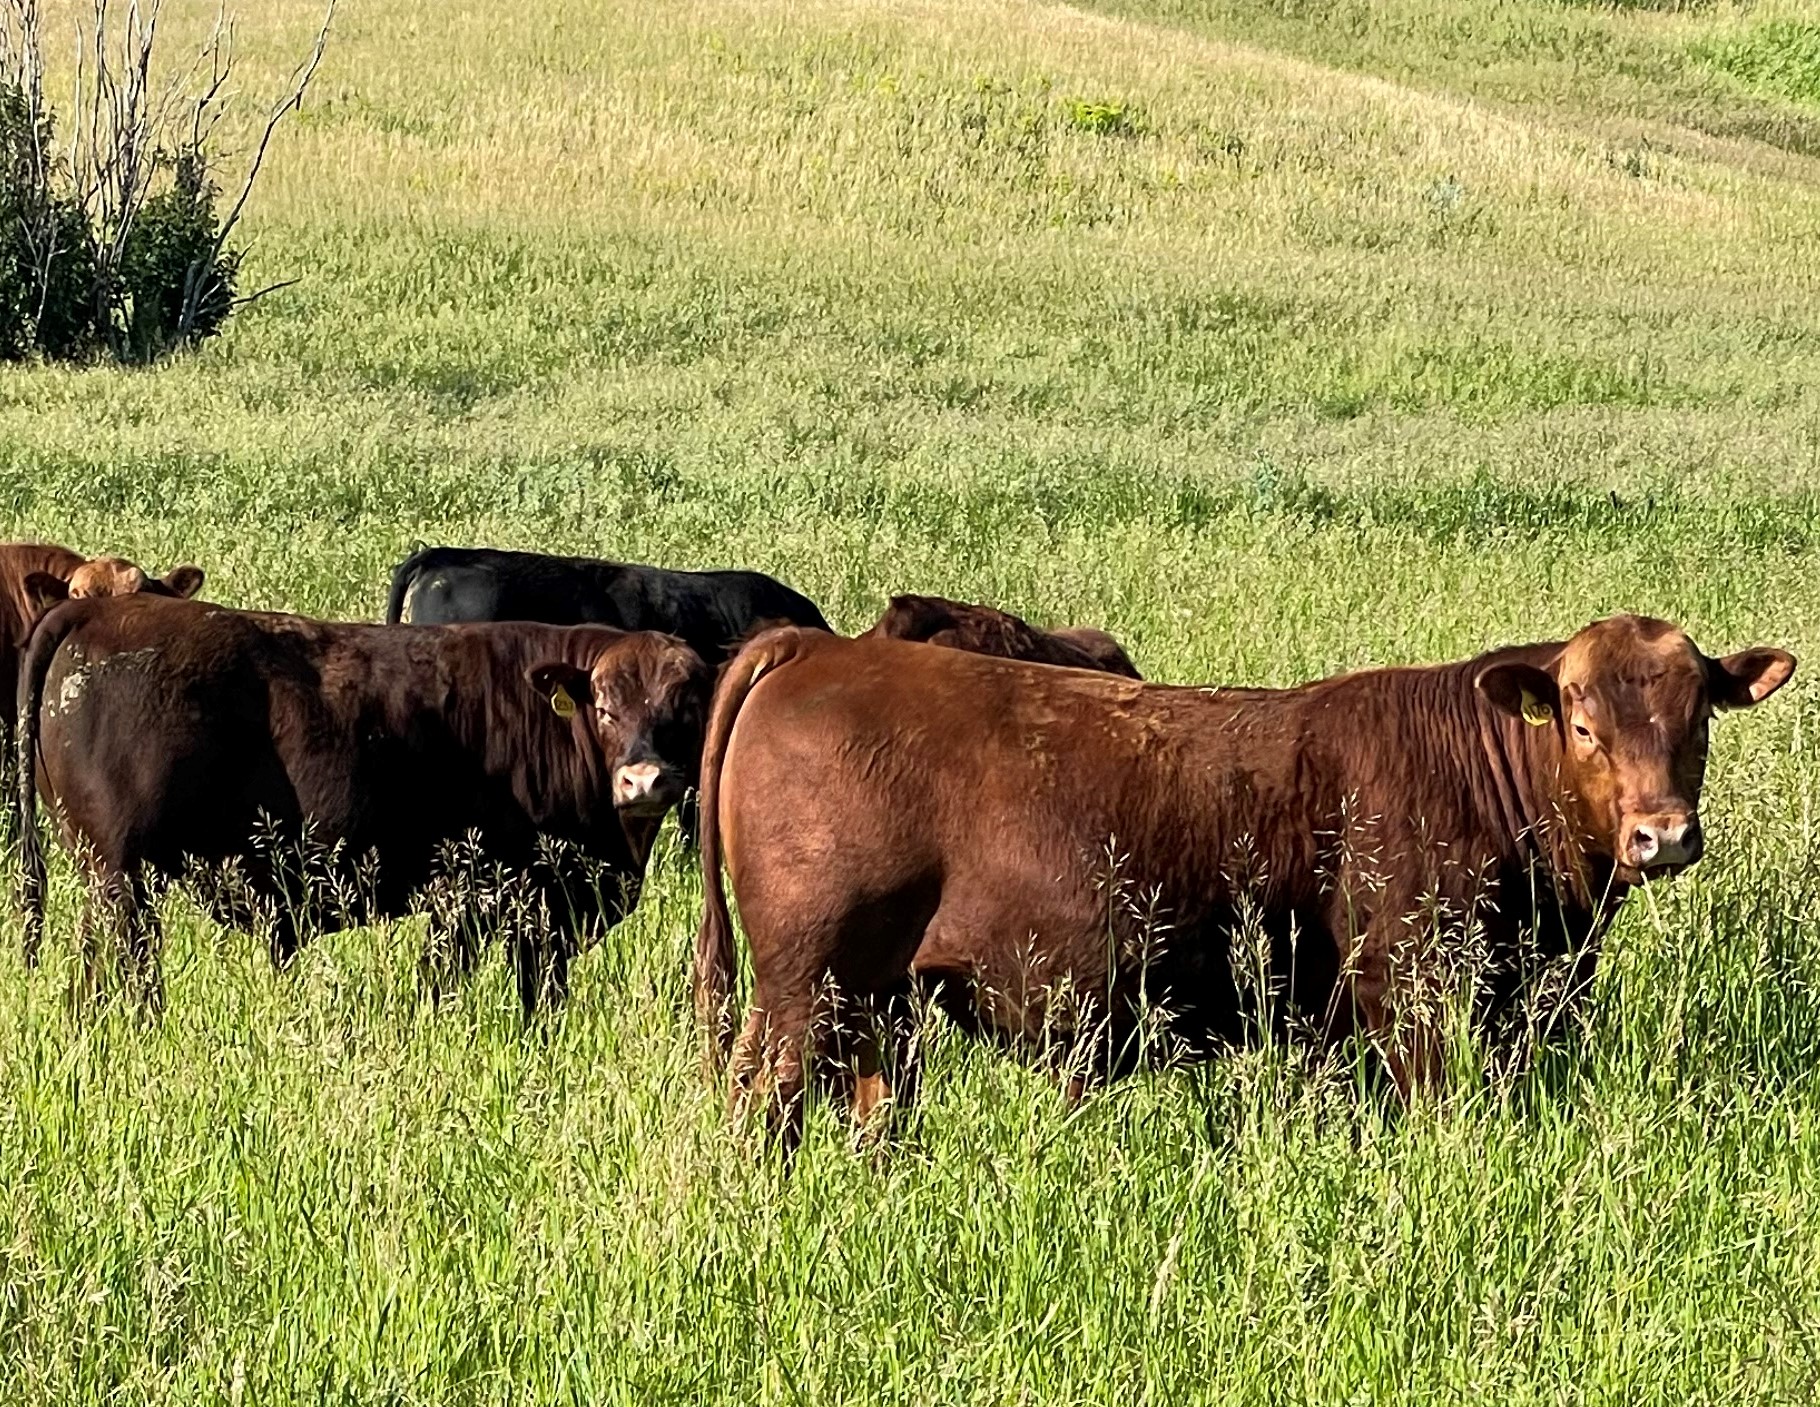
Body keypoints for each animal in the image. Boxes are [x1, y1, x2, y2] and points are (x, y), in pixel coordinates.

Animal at [16, 593, 709, 1012]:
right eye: (606, 707)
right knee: (125, 972)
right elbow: (448, 983)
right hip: (121, 877)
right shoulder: (479, 898)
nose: (644, 781)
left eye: (688, 709)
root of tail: (98, 610)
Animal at [695, 618, 1790, 1150]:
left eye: (1697, 715)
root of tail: (818, 649)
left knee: (873, 1104)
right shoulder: (1409, 992)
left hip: (879, 998)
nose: (1660, 835)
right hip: (803, 982)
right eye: (1581, 721)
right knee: (765, 1099)